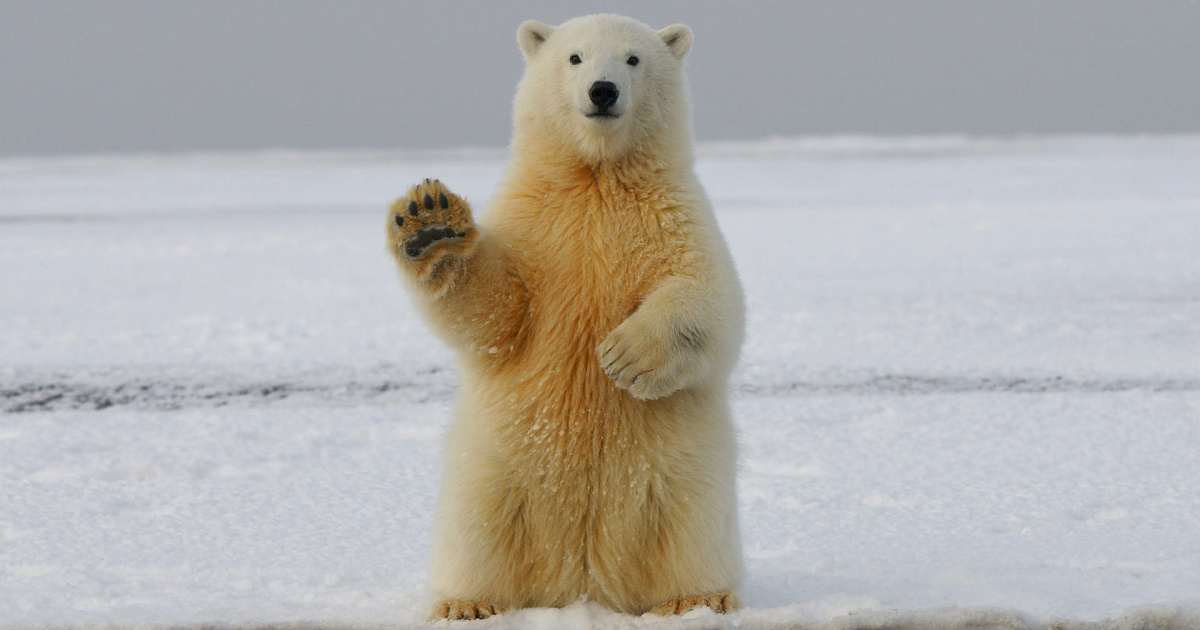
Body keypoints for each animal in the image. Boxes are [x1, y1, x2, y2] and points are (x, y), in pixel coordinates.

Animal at [386, 13, 739, 619]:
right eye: (574, 57)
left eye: (632, 59)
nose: (603, 91)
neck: (595, 176)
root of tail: (583, 580)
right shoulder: (535, 223)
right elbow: (497, 312)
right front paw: (430, 222)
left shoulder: (675, 216)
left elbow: (710, 298)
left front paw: (624, 357)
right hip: (495, 468)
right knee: (478, 529)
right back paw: (466, 604)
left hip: (682, 472)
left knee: (690, 527)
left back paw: (698, 598)